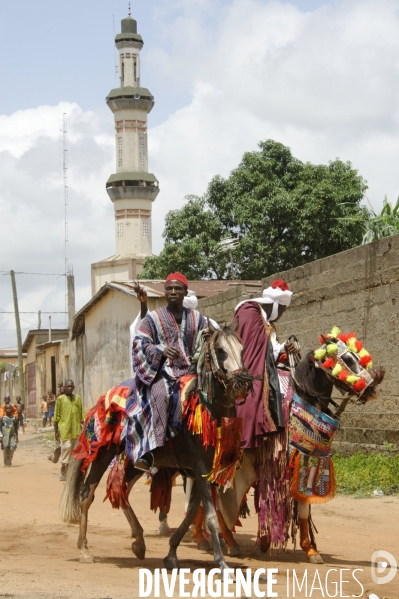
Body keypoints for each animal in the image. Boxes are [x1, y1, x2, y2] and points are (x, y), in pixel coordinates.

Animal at [59, 326, 256, 576]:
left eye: (241, 348)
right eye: (220, 350)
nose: (242, 382)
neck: (209, 409)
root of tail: (103, 399)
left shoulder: (203, 470)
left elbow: (193, 511)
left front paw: (171, 554)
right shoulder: (200, 468)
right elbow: (210, 515)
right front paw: (222, 564)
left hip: (136, 461)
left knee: (123, 491)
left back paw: (139, 543)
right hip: (104, 452)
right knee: (87, 495)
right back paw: (85, 550)